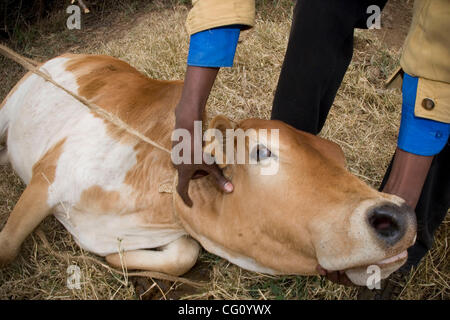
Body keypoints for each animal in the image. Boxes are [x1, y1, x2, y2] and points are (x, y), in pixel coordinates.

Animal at [0, 53, 414, 286]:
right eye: (262, 151)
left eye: (340, 157)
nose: (399, 216)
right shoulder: (47, 177)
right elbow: (6, 247)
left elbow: (185, 254)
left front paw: (116, 260)